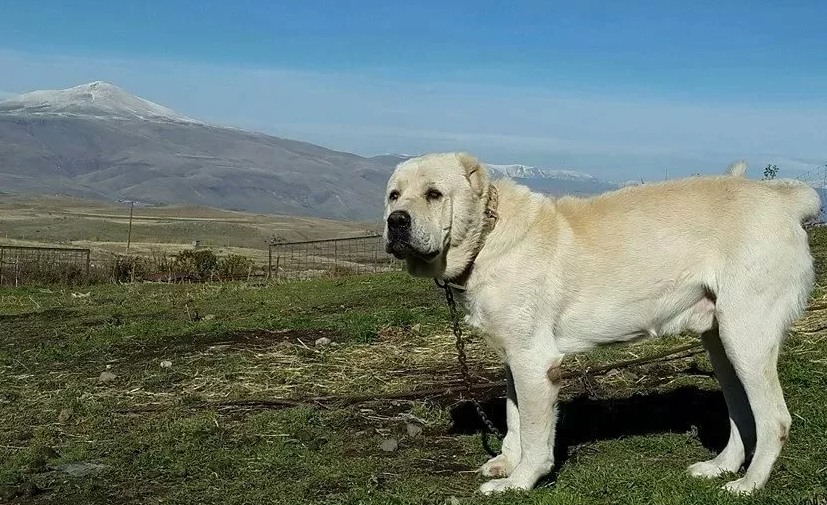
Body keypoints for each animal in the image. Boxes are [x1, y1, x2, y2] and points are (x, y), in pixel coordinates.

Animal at [384, 152, 820, 494]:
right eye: (393, 195)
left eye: (434, 194)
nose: (396, 221)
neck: (488, 236)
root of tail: (784, 200)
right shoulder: (515, 359)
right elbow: (514, 416)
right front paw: (507, 462)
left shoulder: (535, 363)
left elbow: (535, 431)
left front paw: (520, 481)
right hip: (721, 344)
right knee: (742, 413)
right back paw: (720, 468)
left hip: (745, 337)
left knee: (774, 419)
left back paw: (749, 484)